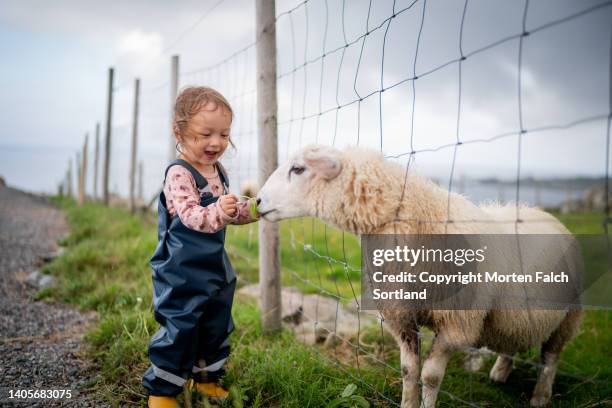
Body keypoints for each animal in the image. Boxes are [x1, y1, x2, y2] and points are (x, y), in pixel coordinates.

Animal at [255, 145, 584, 406]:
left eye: (298, 168)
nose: (257, 201)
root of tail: (541, 212)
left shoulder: (457, 323)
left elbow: (431, 376)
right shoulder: (400, 315)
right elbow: (408, 371)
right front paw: (408, 403)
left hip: (569, 315)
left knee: (551, 358)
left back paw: (540, 396)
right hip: (517, 314)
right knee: (515, 339)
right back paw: (501, 372)